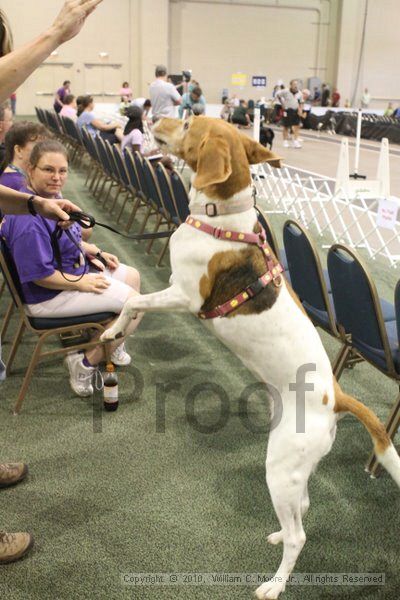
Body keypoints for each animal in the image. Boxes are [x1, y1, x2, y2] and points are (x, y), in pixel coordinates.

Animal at [101, 117, 400, 600]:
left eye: (188, 122)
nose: (152, 118)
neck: (219, 218)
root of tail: (337, 396)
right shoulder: (173, 293)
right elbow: (136, 306)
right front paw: (120, 334)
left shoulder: (184, 296)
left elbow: (133, 301)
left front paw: (113, 330)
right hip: (293, 465)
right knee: (301, 507)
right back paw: (278, 535)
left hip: (280, 466)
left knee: (300, 535)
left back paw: (274, 585)